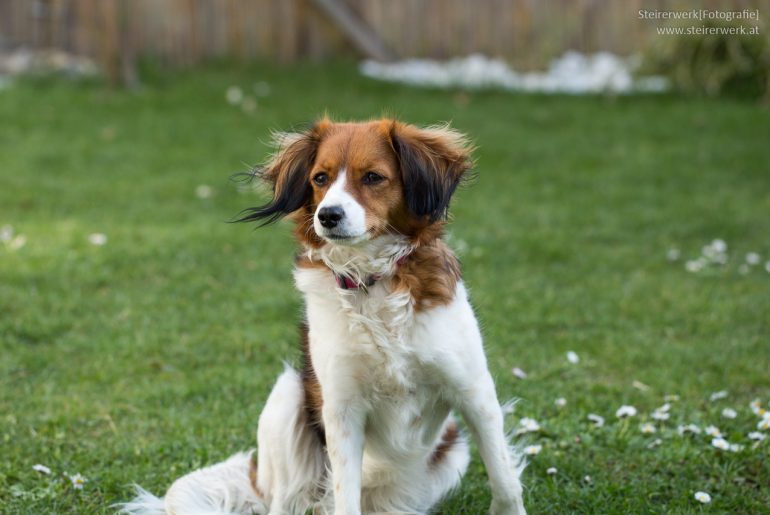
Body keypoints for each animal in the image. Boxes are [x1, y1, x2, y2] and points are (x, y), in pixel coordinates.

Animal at [120, 118, 524, 515]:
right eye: (320, 178)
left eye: (373, 177)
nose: (327, 215)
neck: (372, 280)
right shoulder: (342, 411)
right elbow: (346, 497)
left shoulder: (473, 390)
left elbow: (505, 482)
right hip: (287, 397)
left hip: (450, 454)